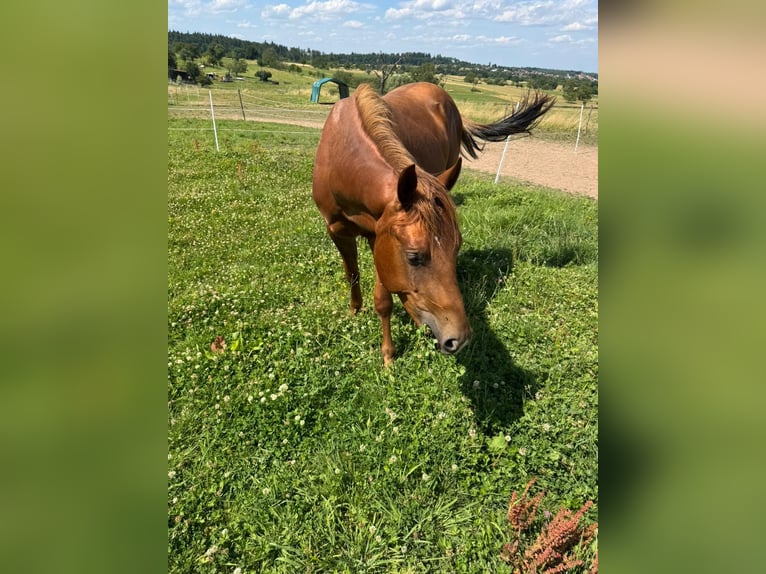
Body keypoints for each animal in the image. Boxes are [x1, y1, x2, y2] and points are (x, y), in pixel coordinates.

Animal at [312, 82, 554, 365]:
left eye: (456, 249)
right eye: (414, 257)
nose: (458, 339)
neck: (343, 157)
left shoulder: (378, 237)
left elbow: (383, 300)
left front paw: (387, 355)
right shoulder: (338, 231)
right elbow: (352, 274)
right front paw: (354, 313)